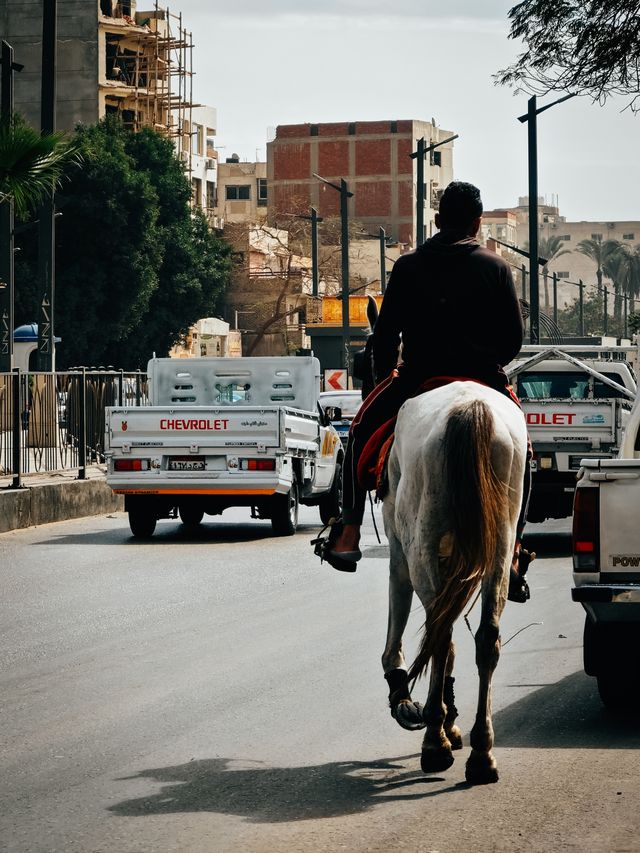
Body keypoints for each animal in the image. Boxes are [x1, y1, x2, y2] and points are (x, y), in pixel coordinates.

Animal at [382, 382, 528, 784]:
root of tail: (470, 410)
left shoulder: (400, 548)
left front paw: (408, 698)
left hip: (422, 542)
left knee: (440, 633)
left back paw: (435, 741)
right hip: (500, 539)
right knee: (486, 639)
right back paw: (481, 753)